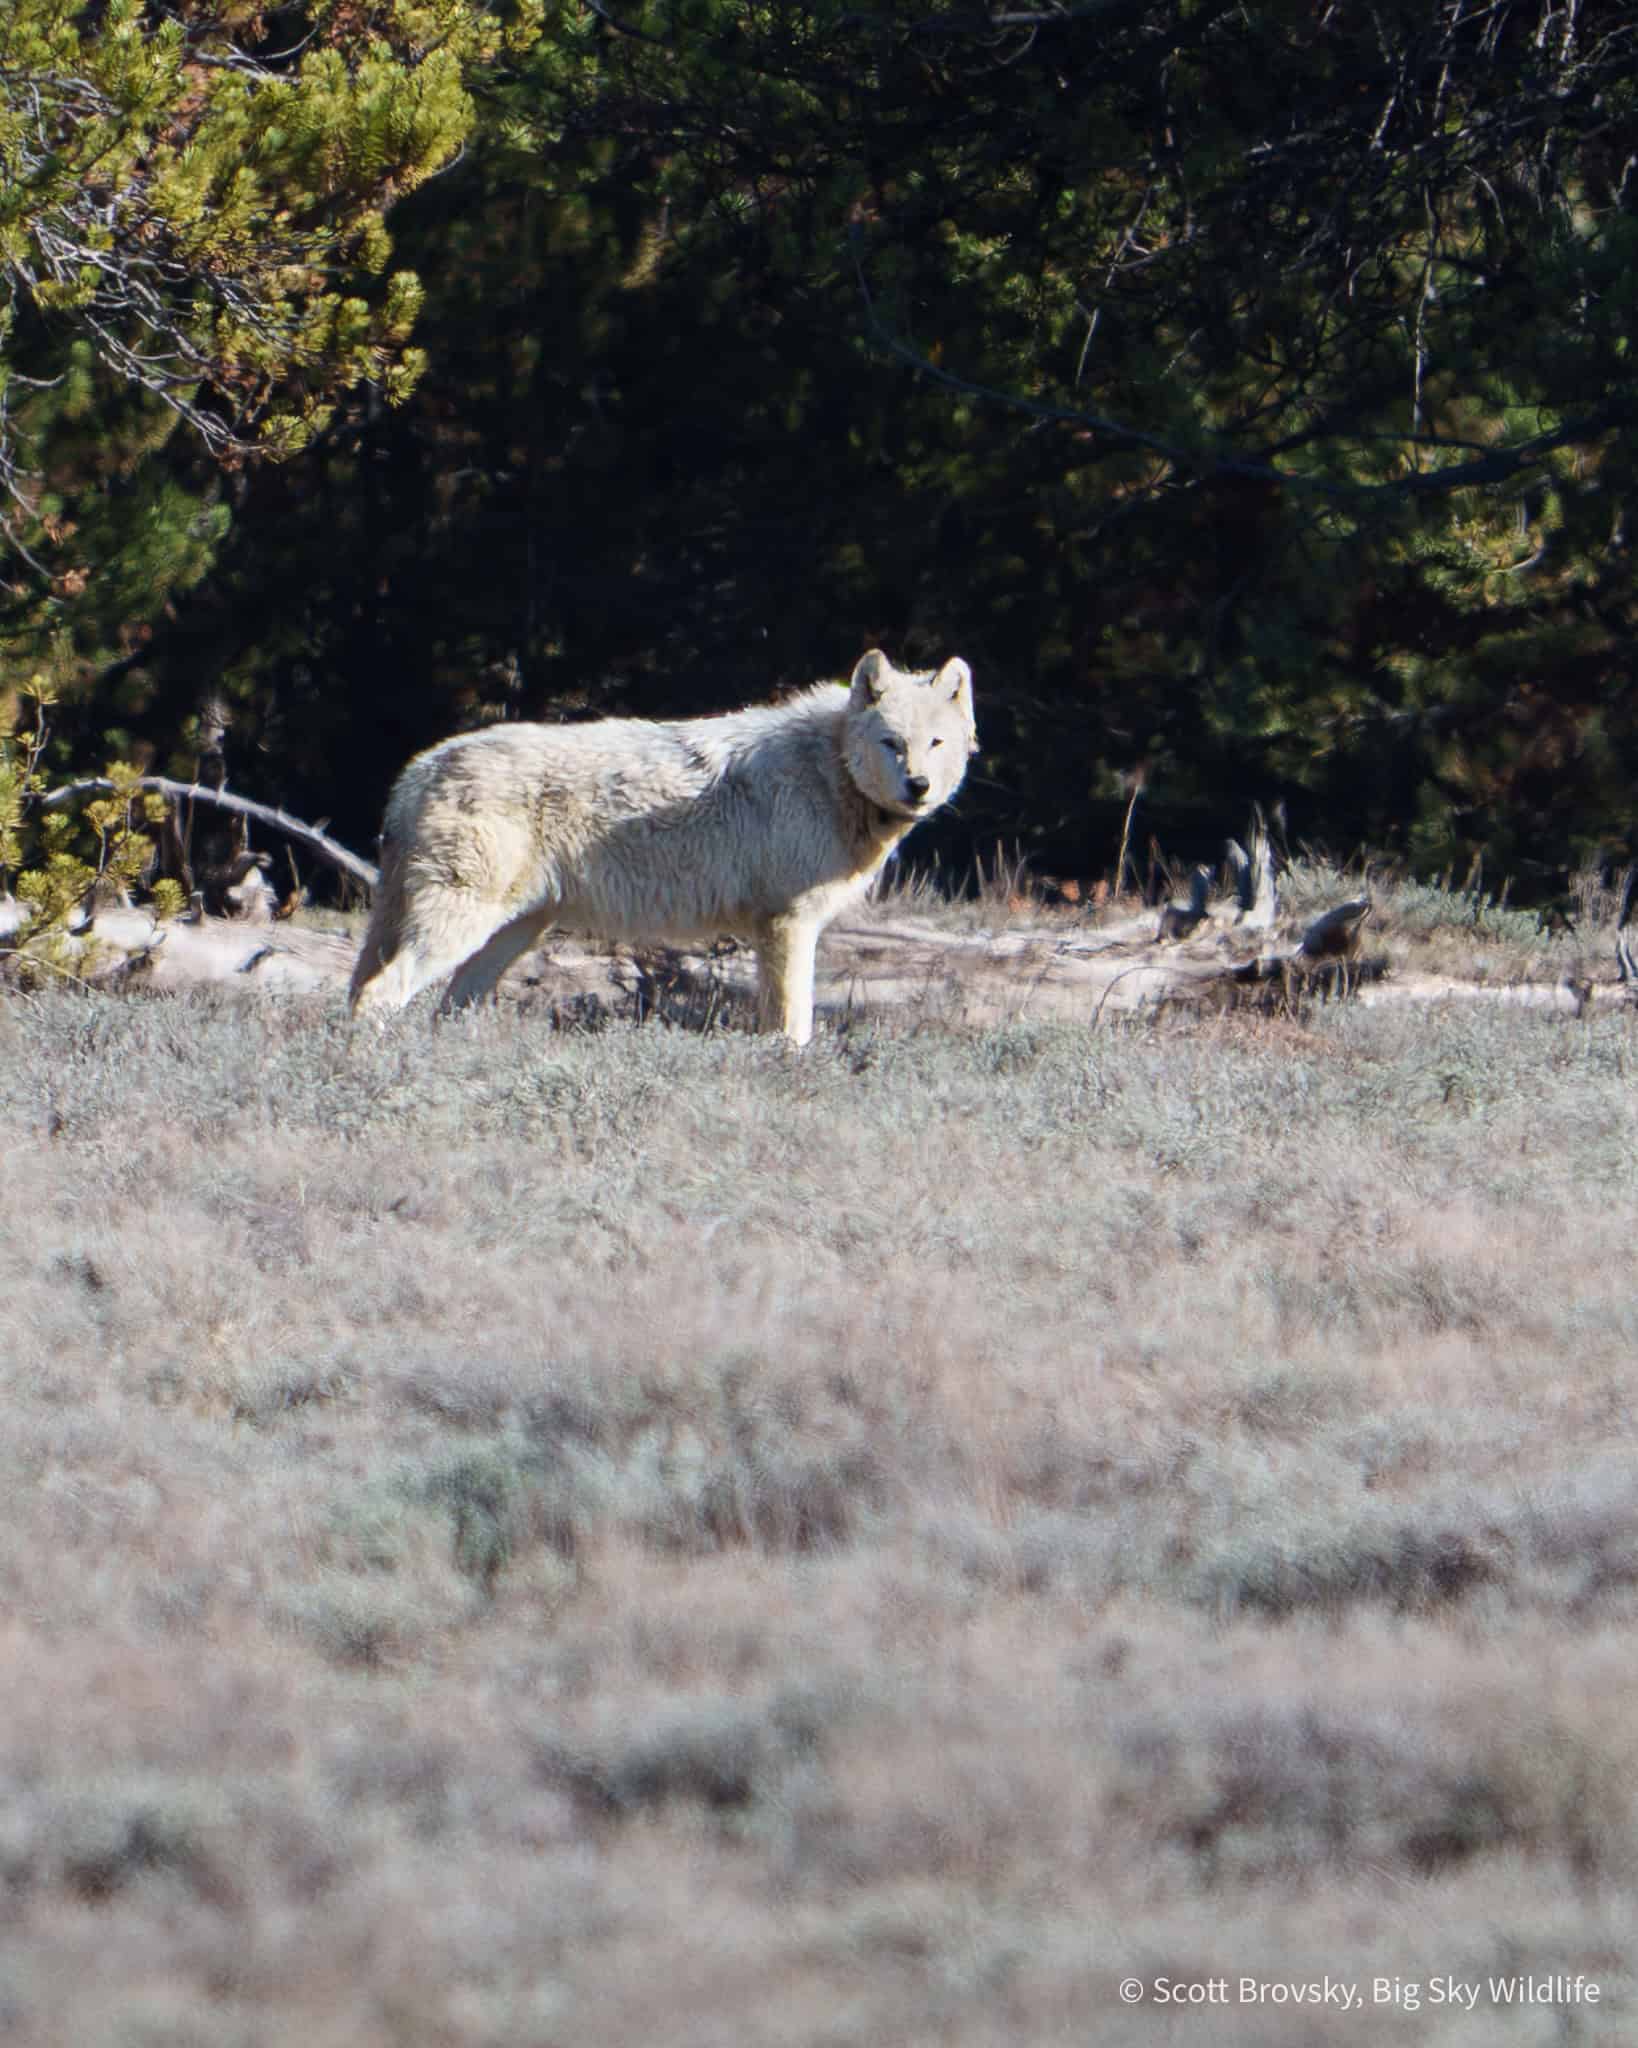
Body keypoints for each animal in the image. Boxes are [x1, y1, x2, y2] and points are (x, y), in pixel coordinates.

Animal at [348, 650, 977, 1044]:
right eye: (892, 742)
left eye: (935, 743)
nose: (919, 786)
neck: (829, 773)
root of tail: (421, 766)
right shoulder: (787, 924)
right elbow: (792, 1026)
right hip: (463, 929)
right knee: (376, 995)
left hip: (510, 936)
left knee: (440, 1008)